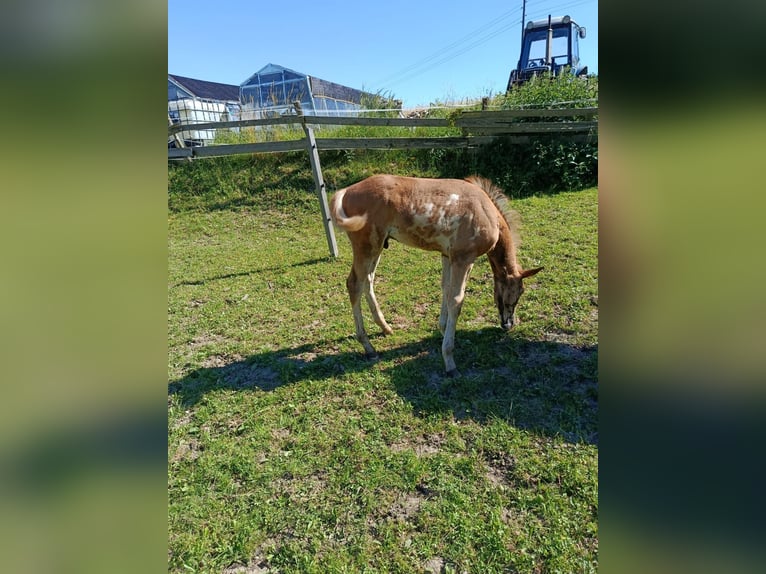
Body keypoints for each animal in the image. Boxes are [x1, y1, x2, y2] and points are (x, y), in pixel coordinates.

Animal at [329, 174, 543, 375]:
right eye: (518, 292)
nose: (509, 324)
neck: (487, 212)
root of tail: (346, 191)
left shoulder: (447, 255)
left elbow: (446, 290)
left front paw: (442, 329)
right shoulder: (464, 258)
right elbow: (456, 300)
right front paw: (449, 361)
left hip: (378, 246)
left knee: (368, 280)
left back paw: (385, 327)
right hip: (366, 246)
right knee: (354, 284)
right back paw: (368, 347)